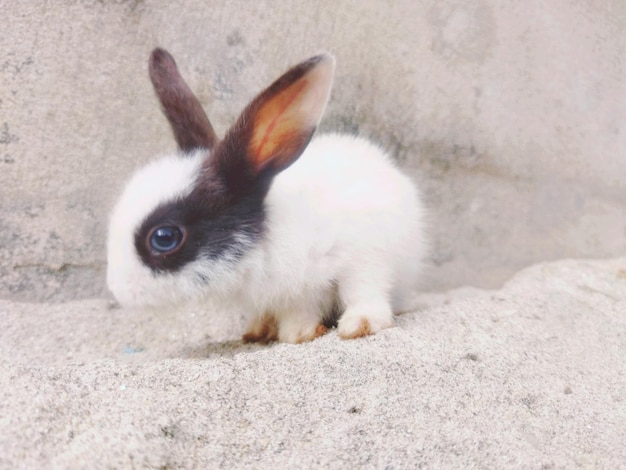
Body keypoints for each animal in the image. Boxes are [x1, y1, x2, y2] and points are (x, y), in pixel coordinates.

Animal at [107, 47, 424, 344]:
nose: (118, 290)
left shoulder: (362, 256)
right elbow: (298, 311)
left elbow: (362, 290)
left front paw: (360, 325)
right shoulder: (291, 295)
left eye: (164, 237)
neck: (266, 239)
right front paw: (299, 334)